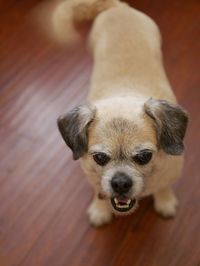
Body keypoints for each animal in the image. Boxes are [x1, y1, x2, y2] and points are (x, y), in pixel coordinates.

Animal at [48, 0, 188, 227]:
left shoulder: (169, 174)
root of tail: (118, 7)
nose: (121, 183)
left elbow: (163, 187)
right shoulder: (95, 179)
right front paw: (100, 209)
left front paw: (164, 200)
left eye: (144, 157)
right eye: (99, 158)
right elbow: (99, 192)